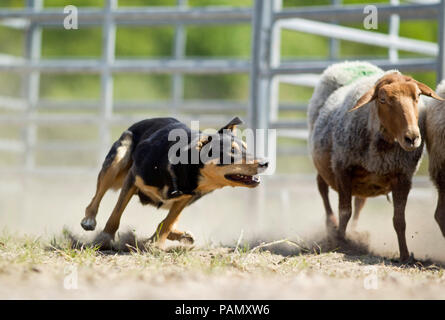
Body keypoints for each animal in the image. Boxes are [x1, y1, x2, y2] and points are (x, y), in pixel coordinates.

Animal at [80, 116, 268, 249]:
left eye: (246, 147)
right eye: (231, 152)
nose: (266, 163)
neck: (179, 167)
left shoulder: (186, 196)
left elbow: (169, 221)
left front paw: (156, 244)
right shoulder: (133, 178)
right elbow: (116, 213)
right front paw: (105, 238)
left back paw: (179, 235)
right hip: (118, 158)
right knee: (97, 196)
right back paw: (89, 219)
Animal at [306, 61, 442, 262]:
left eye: (417, 95)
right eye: (383, 99)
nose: (412, 138)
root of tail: (350, 63)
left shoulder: (403, 177)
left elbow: (399, 220)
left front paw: (405, 256)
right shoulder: (343, 168)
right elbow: (344, 211)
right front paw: (340, 243)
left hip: (362, 183)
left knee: (359, 203)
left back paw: (355, 233)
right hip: (324, 163)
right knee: (322, 189)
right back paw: (332, 226)